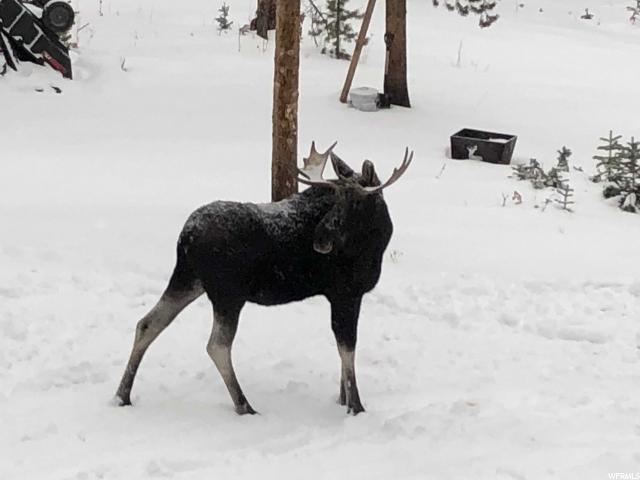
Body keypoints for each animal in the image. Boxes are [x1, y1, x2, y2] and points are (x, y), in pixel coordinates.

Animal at [115, 142, 412, 415]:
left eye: (358, 202)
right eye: (336, 199)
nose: (320, 239)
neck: (378, 241)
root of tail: (185, 237)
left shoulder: (342, 295)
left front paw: (342, 400)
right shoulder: (346, 292)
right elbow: (347, 348)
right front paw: (356, 406)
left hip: (188, 280)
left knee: (148, 323)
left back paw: (122, 395)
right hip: (227, 294)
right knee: (217, 345)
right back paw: (244, 405)